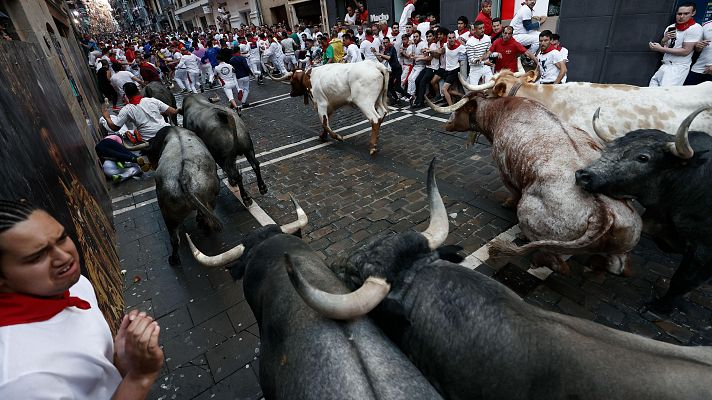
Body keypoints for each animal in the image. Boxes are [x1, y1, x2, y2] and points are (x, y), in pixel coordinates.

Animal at [428, 94, 644, 276]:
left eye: (457, 110)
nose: (447, 124)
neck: (500, 112)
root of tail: (603, 213)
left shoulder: (505, 170)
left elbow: (513, 192)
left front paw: (507, 203)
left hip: (528, 212)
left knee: (559, 264)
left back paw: (536, 255)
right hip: (625, 244)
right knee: (619, 267)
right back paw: (594, 264)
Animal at [576, 107, 712, 312]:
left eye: (643, 157)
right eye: (609, 148)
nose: (583, 175)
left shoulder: (702, 256)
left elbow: (680, 281)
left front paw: (659, 307)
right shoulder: (654, 219)